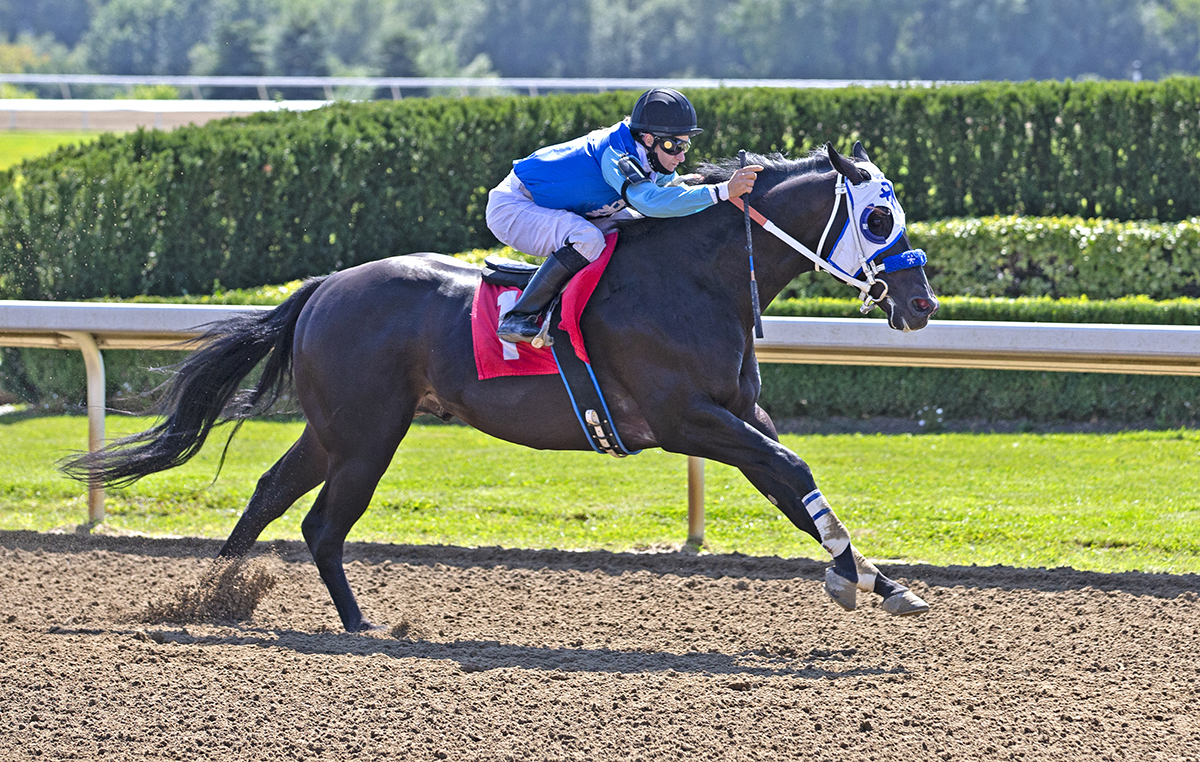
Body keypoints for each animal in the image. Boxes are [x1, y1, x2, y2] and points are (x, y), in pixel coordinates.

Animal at [64, 142, 939, 632]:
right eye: (877, 220)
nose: (923, 304)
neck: (694, 278)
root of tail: (325, 287)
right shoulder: (687, 419)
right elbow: (793, 472)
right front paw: (858, 580)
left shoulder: (738, 411)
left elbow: (793, 488)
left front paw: (878, 580)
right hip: (368, 433)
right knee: (321, 523)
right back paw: (355, 621)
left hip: (336, 428)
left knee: (271, 494)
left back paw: (209, 599)